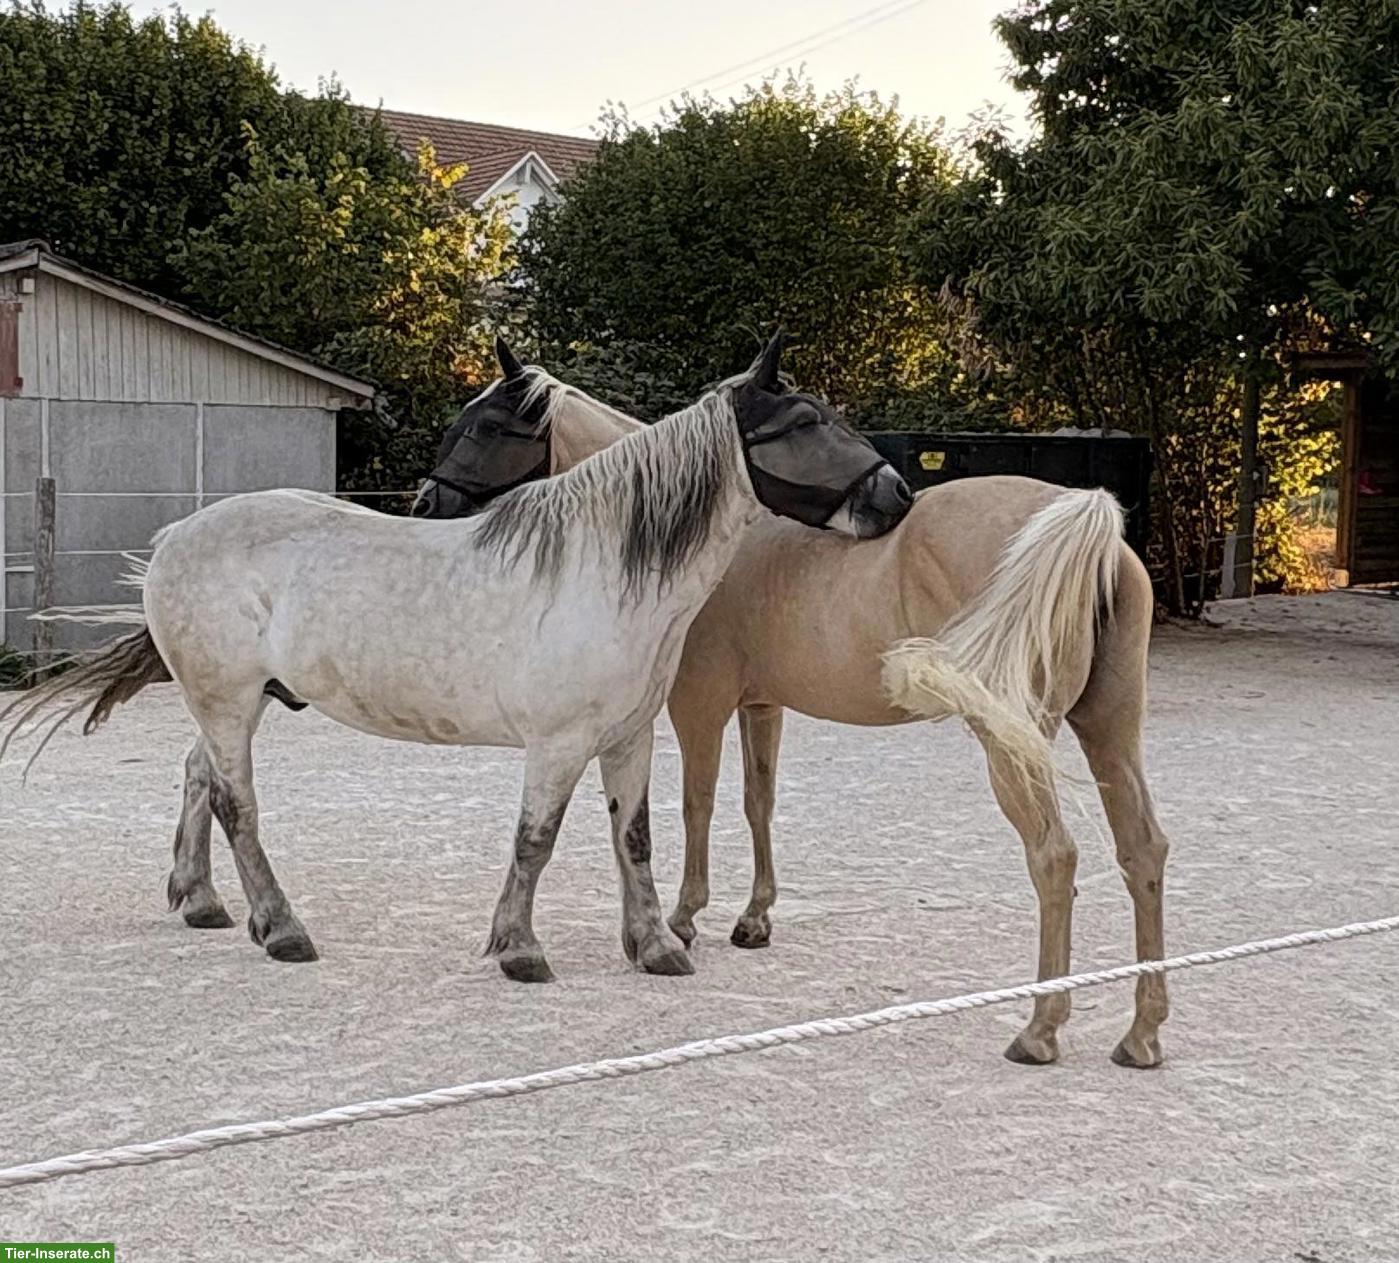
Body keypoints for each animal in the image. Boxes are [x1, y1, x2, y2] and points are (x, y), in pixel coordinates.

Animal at [1, 334, 913, 984]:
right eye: (804, 423)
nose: (896, 495)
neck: (604, 566)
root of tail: (173, 539)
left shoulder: (628, 737)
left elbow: (635, 838)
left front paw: (654, 944)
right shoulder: (556, 744)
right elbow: (535, 840)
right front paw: (519, 948)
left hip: (241, 698)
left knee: (197, 777)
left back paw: (204, 904)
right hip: (228, 700)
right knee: (236, 805)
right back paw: (283, 929)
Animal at [414, 343, 1170, 1069]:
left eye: (487, 424)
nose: (425, 503)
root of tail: (1082, 525)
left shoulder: (699, 704)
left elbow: (697, 804)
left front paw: (684, 919)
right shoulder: (762, 706)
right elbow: (760, 802)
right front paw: (754, 920)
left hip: (1013, 740)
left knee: (1054, 856)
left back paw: (1039, 1029)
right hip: (1108, 730)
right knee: (1142, 849)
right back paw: (1141, 1034)